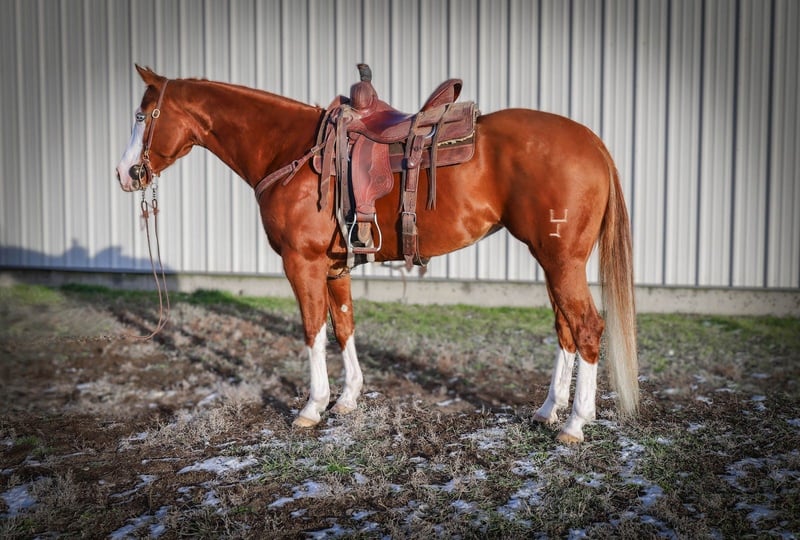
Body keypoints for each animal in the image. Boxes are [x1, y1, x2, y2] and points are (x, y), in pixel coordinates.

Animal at [115, 65, 638, 444]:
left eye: (144, 116)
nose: (125, 174)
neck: (290, 149)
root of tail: (593, 142)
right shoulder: (334, 266)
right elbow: (343, 326)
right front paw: (347, 399)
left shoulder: (301, 263)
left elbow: (312, 330)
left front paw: (312, 408)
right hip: (553, 261)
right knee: (565, 328)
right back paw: (550, 410)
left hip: (561, 261)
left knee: (587, 327)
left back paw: (575, 423)